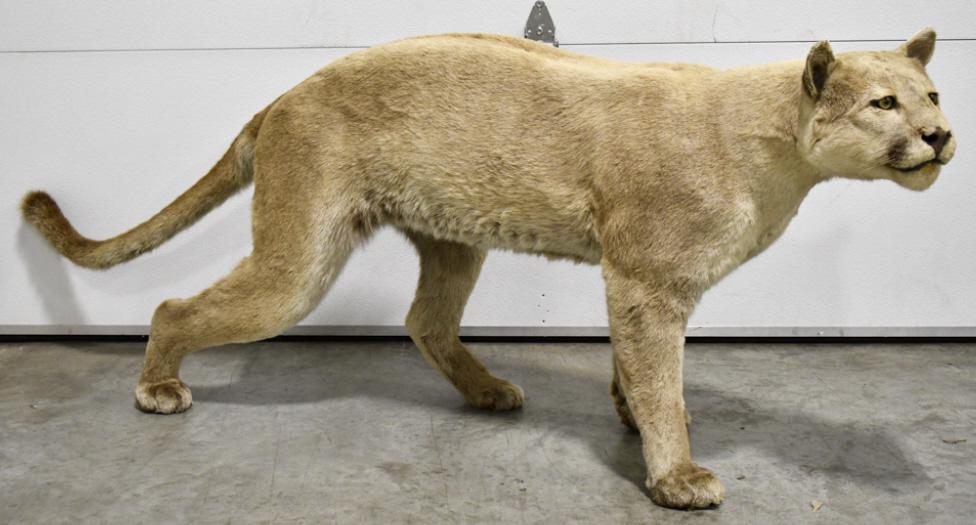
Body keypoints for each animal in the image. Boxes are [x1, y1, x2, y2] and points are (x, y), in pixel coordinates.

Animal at [21, 28, 955, 509]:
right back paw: (157, 387)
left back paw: (489, 391)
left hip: (452, 239)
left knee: (424, 320)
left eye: (933, 93)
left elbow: (633, 369)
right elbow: (664, 383)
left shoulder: (634, 283)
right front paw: (676, 474)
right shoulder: (649, 279)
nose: (943, 135)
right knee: (174, 306)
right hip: (300, 259)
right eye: (885, 102)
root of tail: (284, 95)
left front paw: (625, 418)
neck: (781, 151)